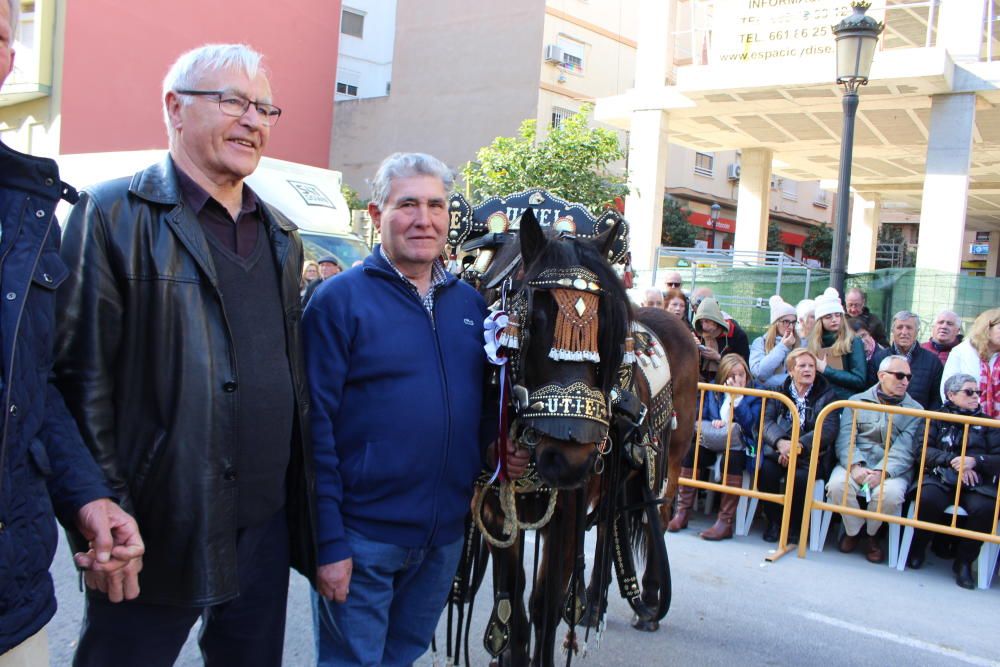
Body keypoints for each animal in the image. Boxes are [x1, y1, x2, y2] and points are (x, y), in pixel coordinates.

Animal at [442, 190, 700, 664]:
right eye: (532, 320)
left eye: (609, 327)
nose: (570, 455)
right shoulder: (496, 509)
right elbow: (512, 604)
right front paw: (509, 650)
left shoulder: (568, 506)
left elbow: (544, 605)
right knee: (613, 523)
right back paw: (594, 604)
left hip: (669, 458)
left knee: (659, 510)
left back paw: (649, 599)